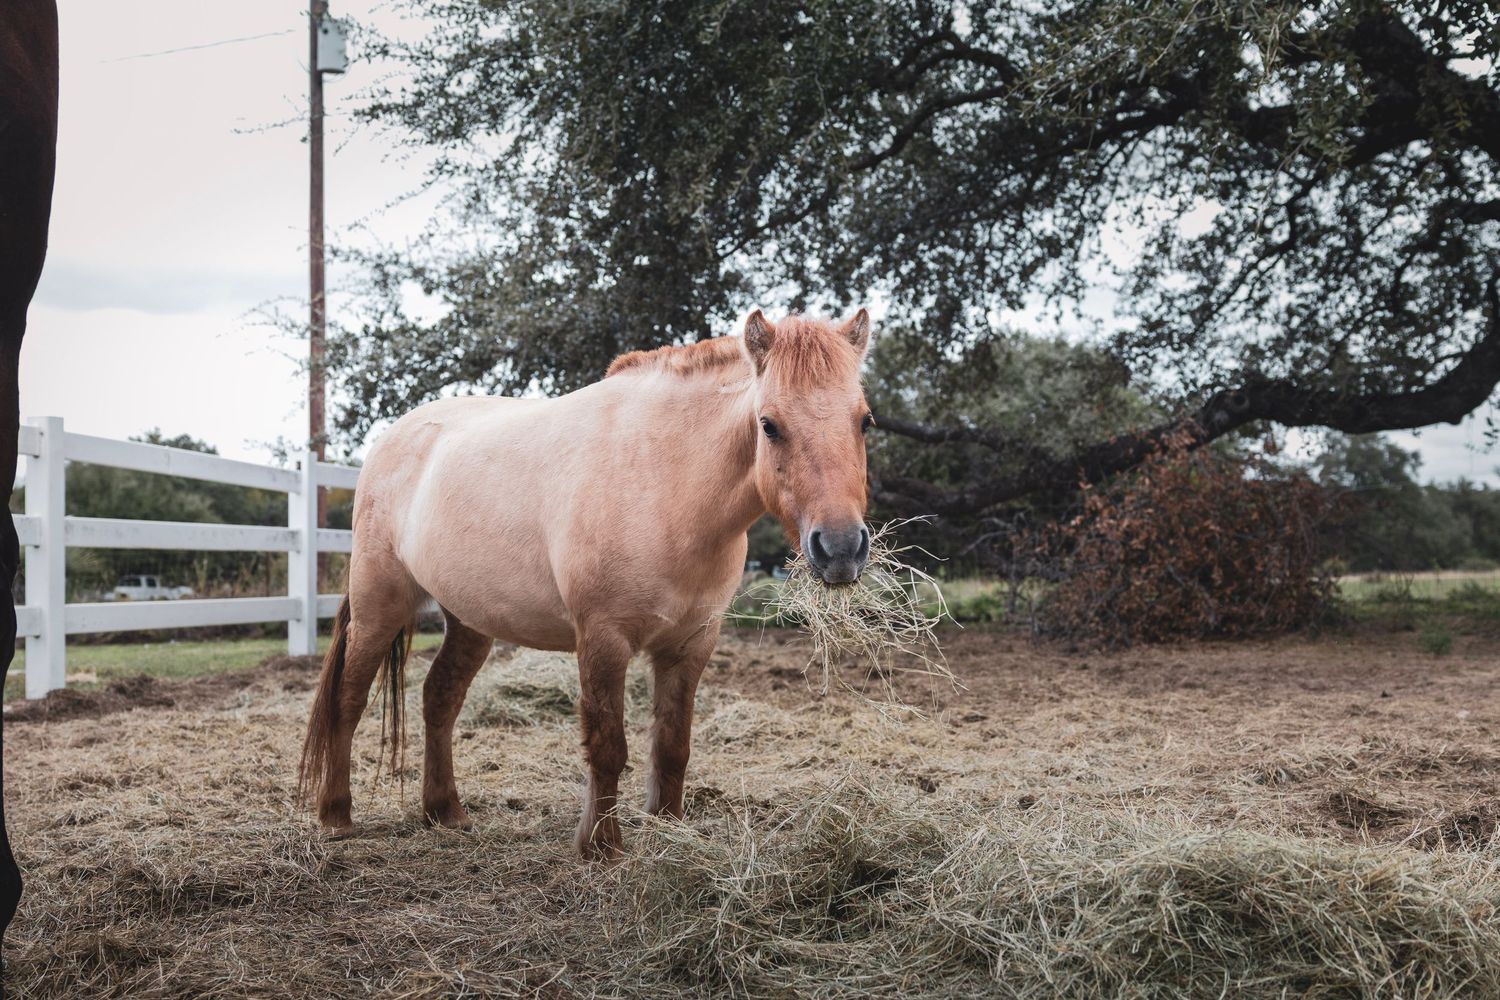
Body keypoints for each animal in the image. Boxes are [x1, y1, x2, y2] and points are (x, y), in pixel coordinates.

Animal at [300, 309, 875, 857]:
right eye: (769, 425)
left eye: (864, 421)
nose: (841, 548)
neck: (663, 482)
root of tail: (392, 440)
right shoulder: (603, 638)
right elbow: (607, 746)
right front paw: (601, 847)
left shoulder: (691, 644)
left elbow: (673, 744)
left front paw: (668, 827)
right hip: (380, 604)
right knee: (349, 698)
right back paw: (337, 816)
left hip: (469, 619)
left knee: (440, 696)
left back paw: (445, 811)